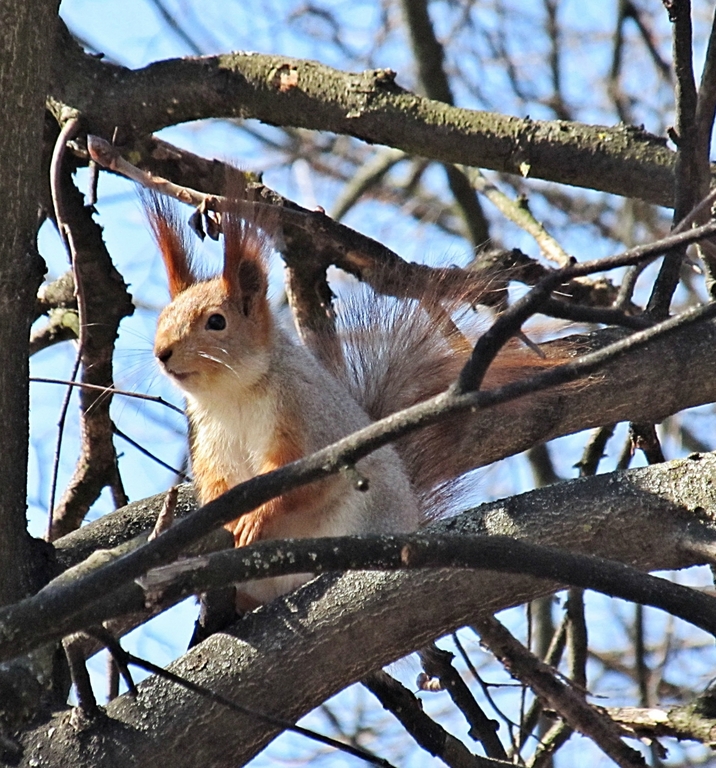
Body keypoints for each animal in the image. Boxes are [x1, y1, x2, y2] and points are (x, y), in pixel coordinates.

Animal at [145, 180, 553, 606]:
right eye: (163, 318)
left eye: (217, 322)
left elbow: (300, 483)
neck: (232, 393)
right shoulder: (208, 439)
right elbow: (216, 485)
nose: (162, 353)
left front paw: (255, 517)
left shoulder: (305, 416)